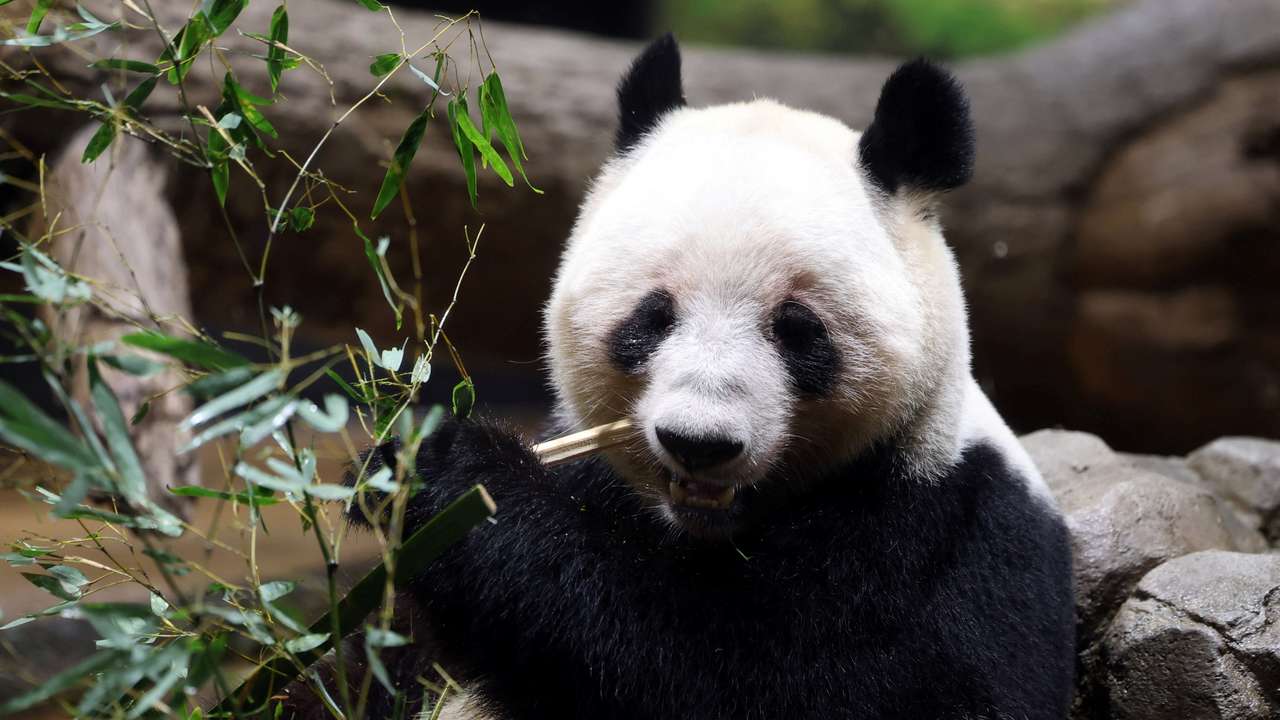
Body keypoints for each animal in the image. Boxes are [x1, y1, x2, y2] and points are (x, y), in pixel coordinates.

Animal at [316, 34, 1076, 720]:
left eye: (798, 330)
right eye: (651, 318)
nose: (699, 443)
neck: (707, 526)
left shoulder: (933, 537)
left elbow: (713, 671)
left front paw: (456, 476)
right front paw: (392, 468)